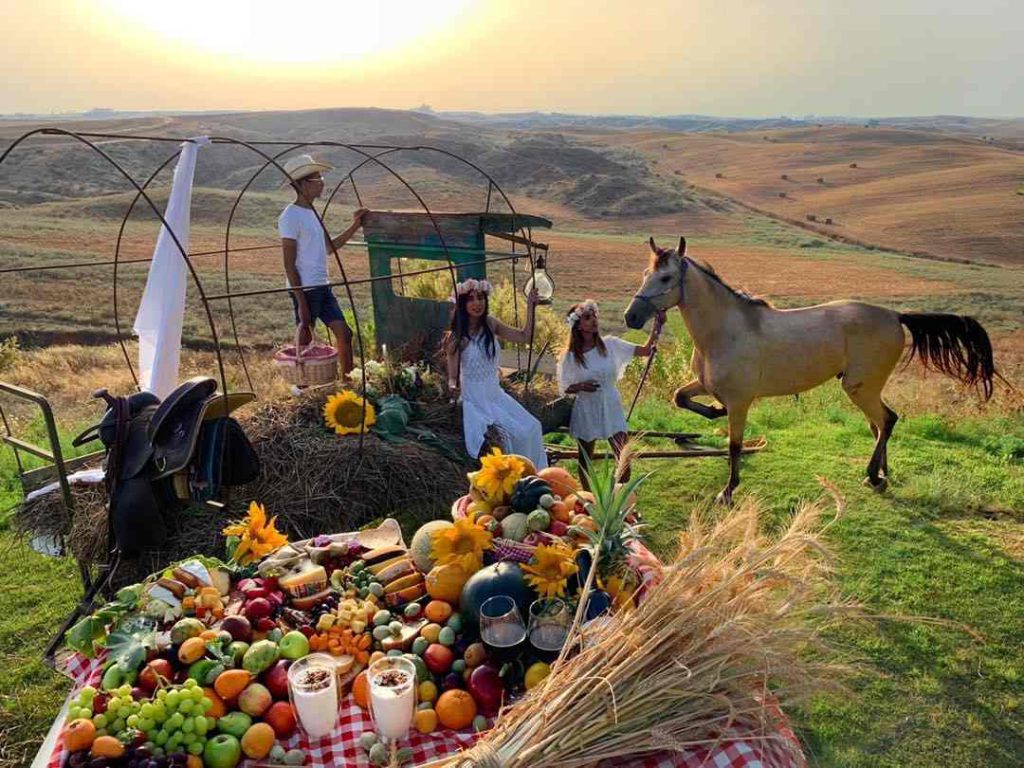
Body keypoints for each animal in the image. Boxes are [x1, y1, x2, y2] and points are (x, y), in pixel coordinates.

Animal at [624, 236, 997, 505]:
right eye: (644, 275)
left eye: (666, 277)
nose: (632, 317)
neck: (725, 331)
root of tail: (894, 316)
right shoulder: (704, 385)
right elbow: (680, 397)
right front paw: (715, 411)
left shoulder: (741, 401)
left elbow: (734, 446)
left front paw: (727, 492)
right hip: (866, 389)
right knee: (880, 425)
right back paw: (881, 475)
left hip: (860, 388)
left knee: (887, 420)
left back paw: (873, 475)